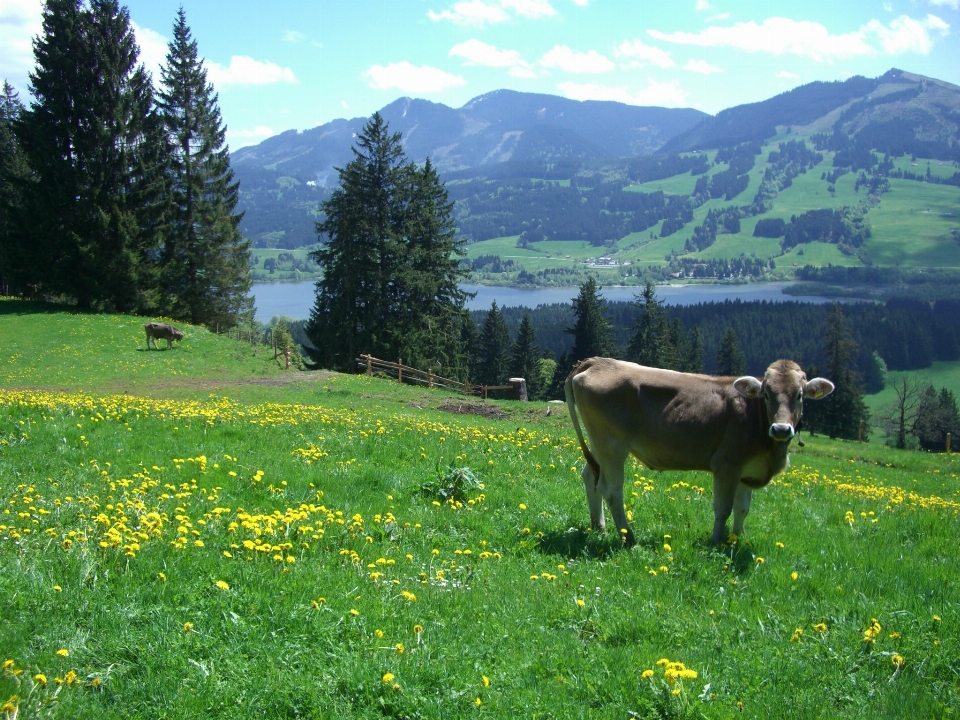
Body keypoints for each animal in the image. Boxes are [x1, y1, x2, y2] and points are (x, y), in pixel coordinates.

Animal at [564, 358, 832, 548]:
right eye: (767, 394)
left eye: (799, 395)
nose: (781, 429)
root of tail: (597, 361)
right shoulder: (726, 464)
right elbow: (723, 508)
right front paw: (716, 542)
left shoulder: (746, 469)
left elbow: (742, 509)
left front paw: (737, 539)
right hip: (612, 445)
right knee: (611, 489)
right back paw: (628, 537)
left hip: (598, 444)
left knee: (591, 476)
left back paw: (599, 526)